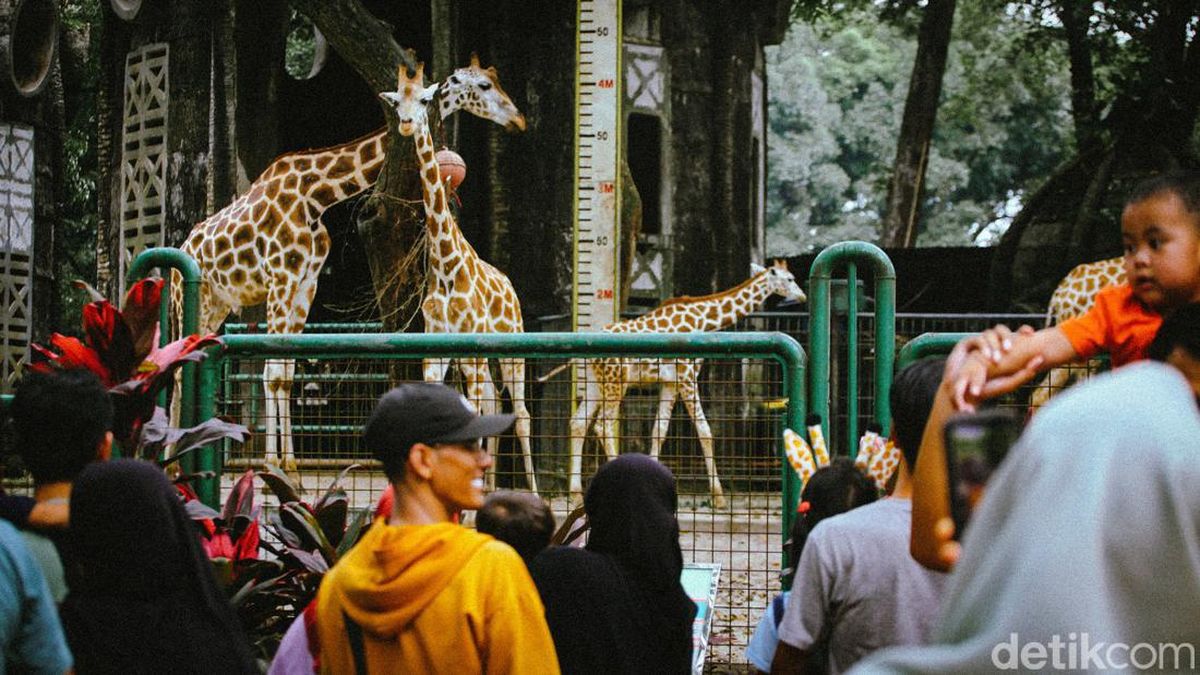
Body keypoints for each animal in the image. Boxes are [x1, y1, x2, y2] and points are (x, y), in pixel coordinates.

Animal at [170, 55, 525, 466]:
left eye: (494, 80)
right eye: (483, 85)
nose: (517, 119)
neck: (316, 194)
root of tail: (184, 246)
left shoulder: (305, 283)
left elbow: (285, 371)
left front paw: (290, 464)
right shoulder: (280, 277)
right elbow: (271, 372)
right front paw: (273, 463)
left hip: (218, 304)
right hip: (189, 300)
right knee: (177, 367)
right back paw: (172, 451)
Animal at [379, 63, 540, 492]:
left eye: (424, 100)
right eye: (396, 102)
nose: (406, 124)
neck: (445, 262)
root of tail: (511, 288)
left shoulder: (471, 344)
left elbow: (476, 411)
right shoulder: (435, 347)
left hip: (512, 349)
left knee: (520, 413)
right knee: (496, 403)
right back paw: (494, 484)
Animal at [561, 260, 806, 506]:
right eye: (790, 279)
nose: (802, 296)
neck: (703, 321)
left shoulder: (671, 382)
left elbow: (659, 430)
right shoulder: (688, 375)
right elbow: (704, 430)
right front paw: (719, 497)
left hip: (596, 382)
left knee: (579, 422)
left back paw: (575, 494)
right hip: (617, 381)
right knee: (603, 425)